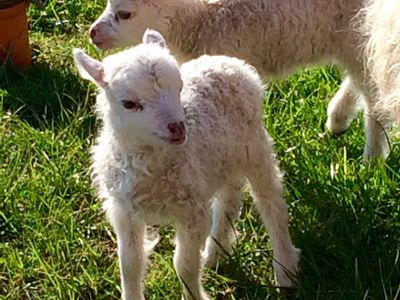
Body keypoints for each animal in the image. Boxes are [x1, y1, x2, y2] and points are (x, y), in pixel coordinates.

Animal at [73, 29, 300, 300]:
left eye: (180, 87)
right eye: (129, 103)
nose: (178, 128)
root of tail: (228, 62)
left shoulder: (192, 211)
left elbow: (184, 264)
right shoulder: (124, 210)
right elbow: (130, 264)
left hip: (255, 148)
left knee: (271, 205)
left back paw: (285, 270)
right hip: (223, 158)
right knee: (229, 200)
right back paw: (215, 254)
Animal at [90, 0, 390, 161]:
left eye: (125, 14)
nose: (92, 34)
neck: (202, 18)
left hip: (359, 34)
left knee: (374, 92)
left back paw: (371, 159)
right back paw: (338, 120)